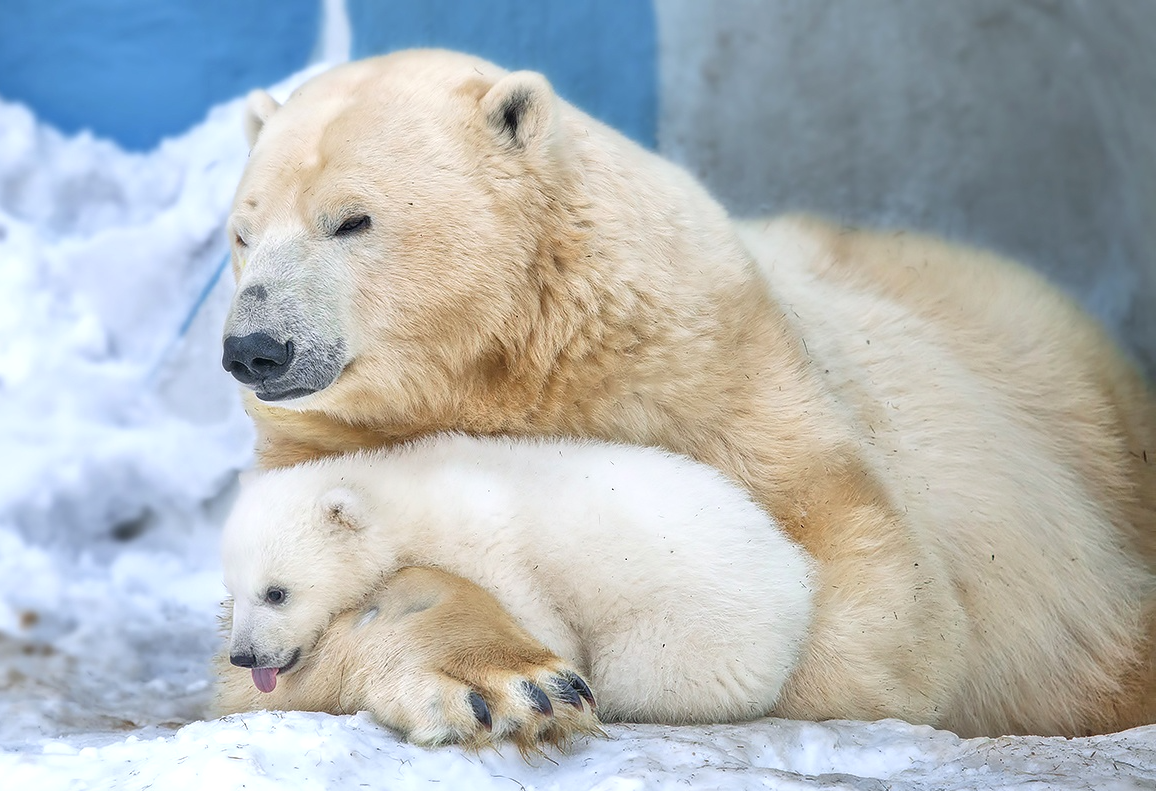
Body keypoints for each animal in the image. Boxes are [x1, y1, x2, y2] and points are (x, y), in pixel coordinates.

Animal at [218, 50, 1156, 740]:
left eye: (353, 219)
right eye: (243, 232)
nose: (254, 349)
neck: (517, 349)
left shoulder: (714, 375)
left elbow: (876, 612)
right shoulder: (325, 440)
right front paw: (506, 681)